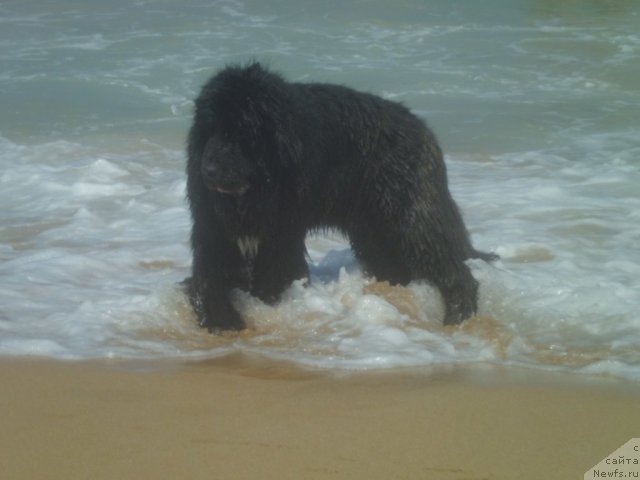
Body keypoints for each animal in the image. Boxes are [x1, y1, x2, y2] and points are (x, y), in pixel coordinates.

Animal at [185, 62, 496, 332]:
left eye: (240, 132)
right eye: (209, 130)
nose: (207, 169)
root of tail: (423, 129)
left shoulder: (281, 234)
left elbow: (274, 275)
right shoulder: (214, 229)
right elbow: (208, 276)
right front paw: (220, 317)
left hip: (411, 217)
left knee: (450, 265)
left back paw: (458, 316)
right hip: (373, 231)